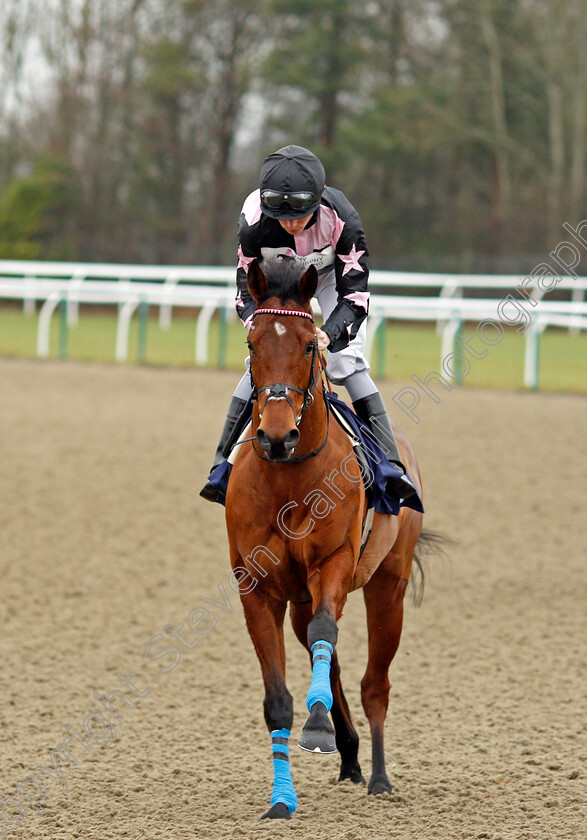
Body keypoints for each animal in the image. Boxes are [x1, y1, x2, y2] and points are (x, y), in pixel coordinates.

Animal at [225, 258, 422, 820]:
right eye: (252, 344)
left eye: (310, 346)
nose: (276, 436)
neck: (289, 478)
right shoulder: (257, 586)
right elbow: (277, 700)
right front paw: (280, 801)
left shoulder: (335, 561)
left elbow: (328, 635)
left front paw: (318, 728)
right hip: (299, 599)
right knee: (323, 647)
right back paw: (348, 753)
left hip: (388, 585)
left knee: (372, 681)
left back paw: (377, 776)